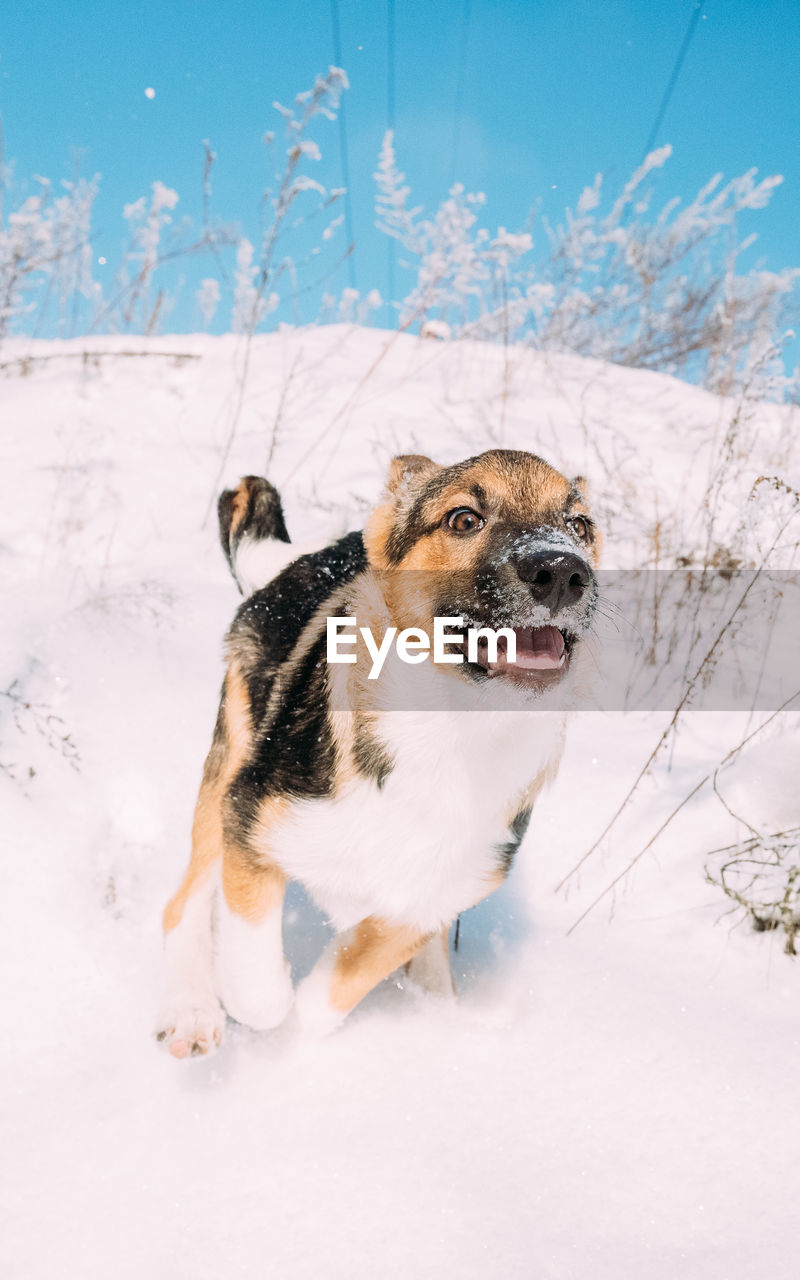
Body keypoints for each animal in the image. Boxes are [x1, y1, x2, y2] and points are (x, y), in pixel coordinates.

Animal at [156, 445, 596, 1054]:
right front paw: (261, 1014)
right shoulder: (248, 819)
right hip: (229, 763)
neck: (452, 738)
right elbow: (258, 988)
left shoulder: (427, 900)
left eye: (580, 526)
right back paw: (192, 1009)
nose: (562, 572)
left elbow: (335, 990)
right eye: (464, 519)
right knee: (184, 902)